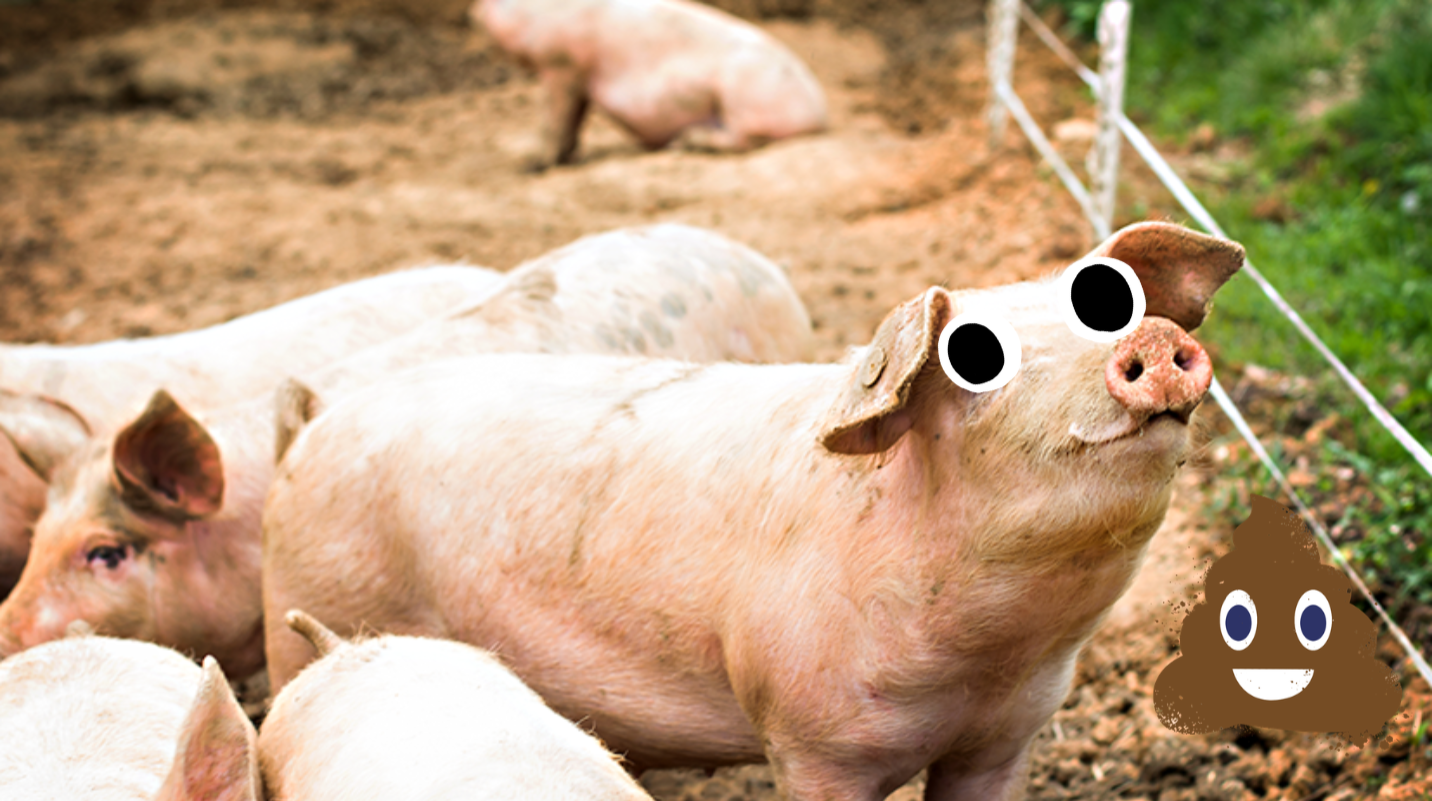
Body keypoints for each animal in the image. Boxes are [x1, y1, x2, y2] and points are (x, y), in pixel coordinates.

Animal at [471, 0, 829, 169]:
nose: (472, 12)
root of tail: (820, 113)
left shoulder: (561, 64)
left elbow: (553, 120)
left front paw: (532, 166)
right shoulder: (580, 78)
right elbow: (573, 122)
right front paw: (569, 158)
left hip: (745, 94)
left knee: (746, 139)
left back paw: (685, 142)